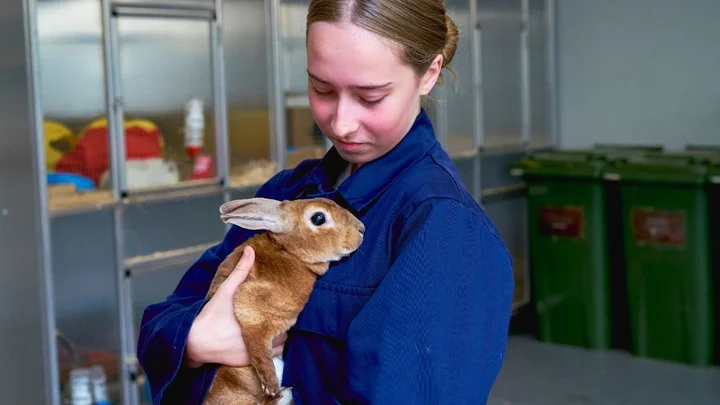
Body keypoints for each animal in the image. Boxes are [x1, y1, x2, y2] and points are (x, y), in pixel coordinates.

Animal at [202, 197, 366, 405]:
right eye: (318, 218)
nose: (361, 229)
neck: (288, 251)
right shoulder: (252, 306)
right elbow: (256, 343)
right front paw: (271, 383)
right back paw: (282, 394)